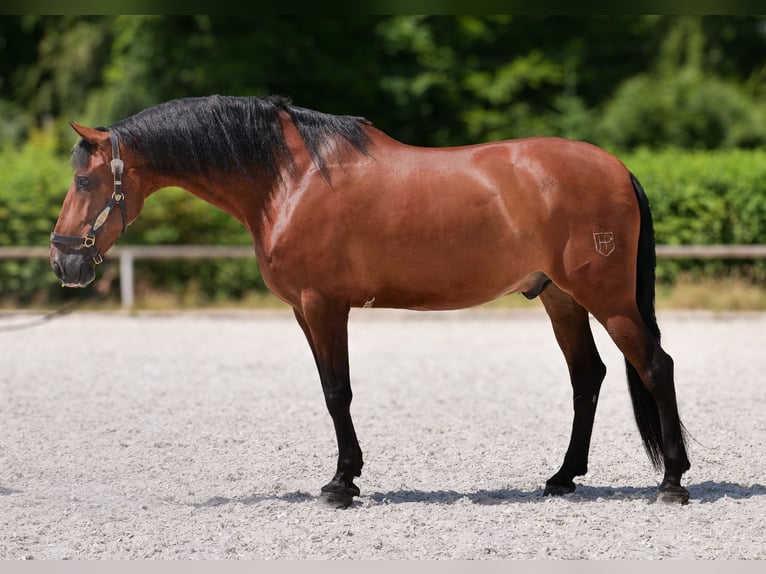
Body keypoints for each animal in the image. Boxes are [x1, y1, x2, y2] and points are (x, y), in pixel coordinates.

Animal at [50, 95, 690, 508]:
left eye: (84, 182)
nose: (64, 262)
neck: (288, 179)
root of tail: (618, 169)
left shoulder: (324, 305)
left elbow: (339, 392)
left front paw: (341, 485)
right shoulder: (303, 311)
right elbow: (329, 390)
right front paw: (345, 477)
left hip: (607, 298)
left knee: (656, 365)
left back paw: (673, 482)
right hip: (559, 297)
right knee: (588, 375)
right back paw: (562, 477)